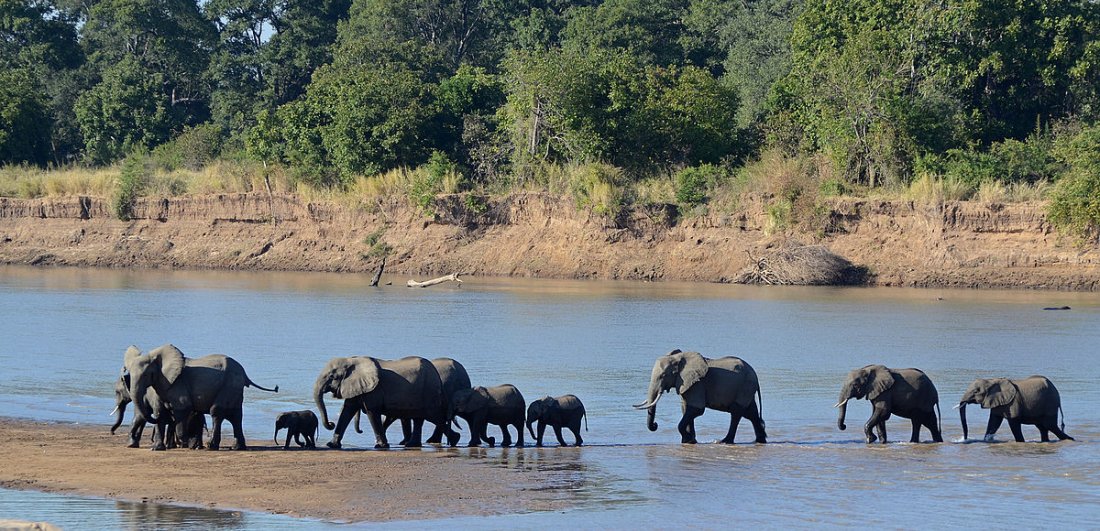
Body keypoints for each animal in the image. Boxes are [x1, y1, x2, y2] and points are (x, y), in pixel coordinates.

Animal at [122, 345, 279, 452]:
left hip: (229, 385)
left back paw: (211, 446)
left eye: (146, 375)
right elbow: (160, 412)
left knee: (217, 412)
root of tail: (245, 374)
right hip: (235, 389)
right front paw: (157, 448)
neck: (156, 356)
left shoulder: (178, 384)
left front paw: (183, 443)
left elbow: (182, 408)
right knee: (236, 416)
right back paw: (237, 448)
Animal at [314, 358, 459, 448]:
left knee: (433, 416)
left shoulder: (373, 391)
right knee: (421, 418)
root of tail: (437, 376)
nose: (330, 424)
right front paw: (331, 445)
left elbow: (372, 412)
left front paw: (380, 446)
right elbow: (347, 410)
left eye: (332, 377)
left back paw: (454, 439)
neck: (352, 360)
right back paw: (413, 445)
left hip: (428, 392)